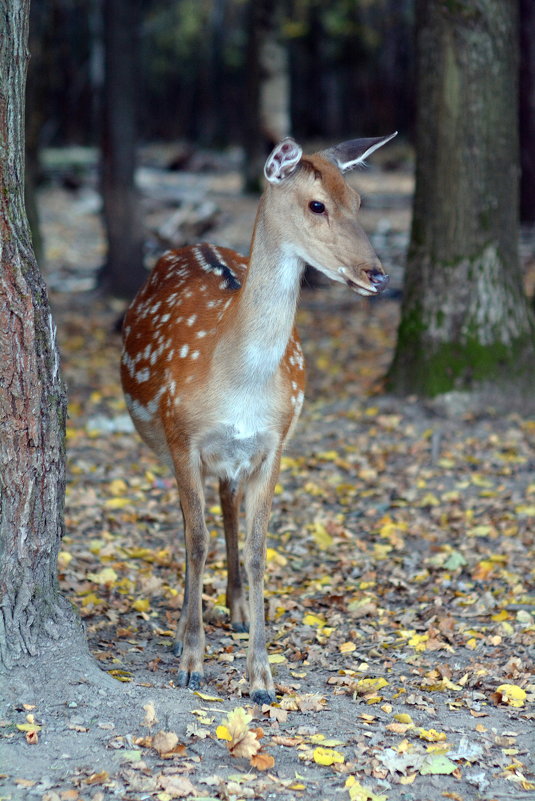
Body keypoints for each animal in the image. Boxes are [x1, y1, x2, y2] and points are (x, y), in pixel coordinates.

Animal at [122, 134, 398, 704]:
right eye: (317, 205)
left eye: (359, 200)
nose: (378, 274)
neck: (237, 384)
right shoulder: (180, 434)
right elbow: (196, 539)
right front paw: (192, 662)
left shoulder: (275, 441)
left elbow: (257, 548)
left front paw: (262, 677)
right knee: (192, 524)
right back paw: (184, 630)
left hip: (235, 454)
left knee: (227, 503)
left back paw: (238, 610)